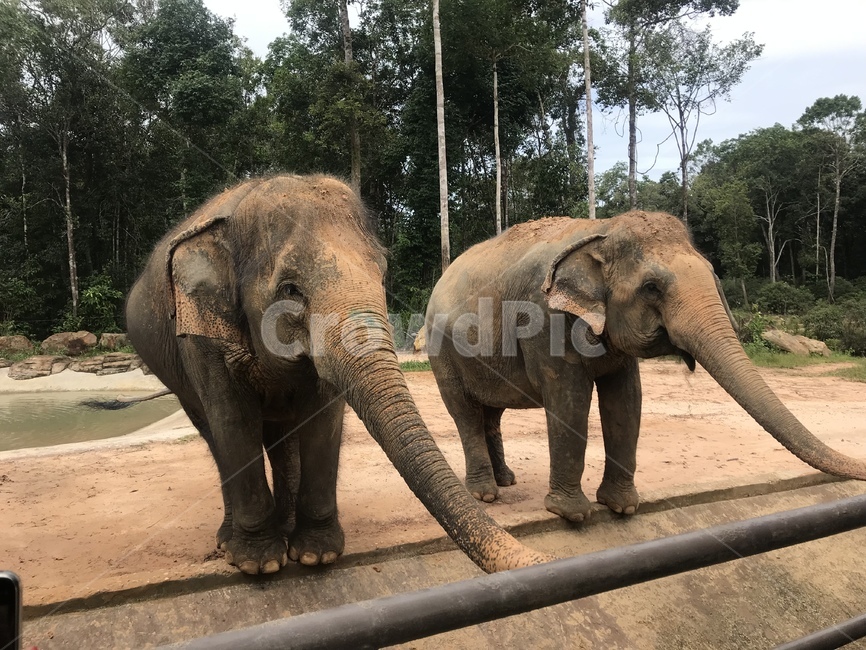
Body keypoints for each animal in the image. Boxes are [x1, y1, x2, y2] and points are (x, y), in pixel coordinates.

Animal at [125, 174, 549, 575]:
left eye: (381, 276)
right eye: (290, 290)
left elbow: (322, 418)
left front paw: (315, 554)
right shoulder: (202, 338)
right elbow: (232, 420)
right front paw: (260, 563)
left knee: (279, 436)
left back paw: (285, 525)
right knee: (214, 433)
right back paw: (230, 541)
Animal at [425, 211, 866, 523]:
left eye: (712, 277)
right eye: (652, 288)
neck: (602, 230)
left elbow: (626, 400)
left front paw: (622, 508)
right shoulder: (544, 318)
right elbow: (569, 401)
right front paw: (573, 515)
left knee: (491, 413)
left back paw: (506, 480)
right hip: (440, 351)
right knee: (465, 412)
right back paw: (484, 494)